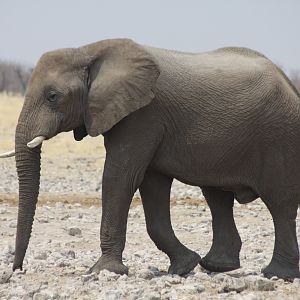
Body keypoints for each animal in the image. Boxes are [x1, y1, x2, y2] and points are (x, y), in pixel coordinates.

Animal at [0, 38, 300, 280]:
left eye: (52, 96)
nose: (18, 270)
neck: (89, 50)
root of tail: (288, 83)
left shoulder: (142, 115)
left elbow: (120, 177)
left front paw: (102, 272)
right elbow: (152, 184)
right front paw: (183, 267)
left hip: (279, 136)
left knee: (280, 204)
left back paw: (277, 274)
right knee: (218, 198)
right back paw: (217, 267)